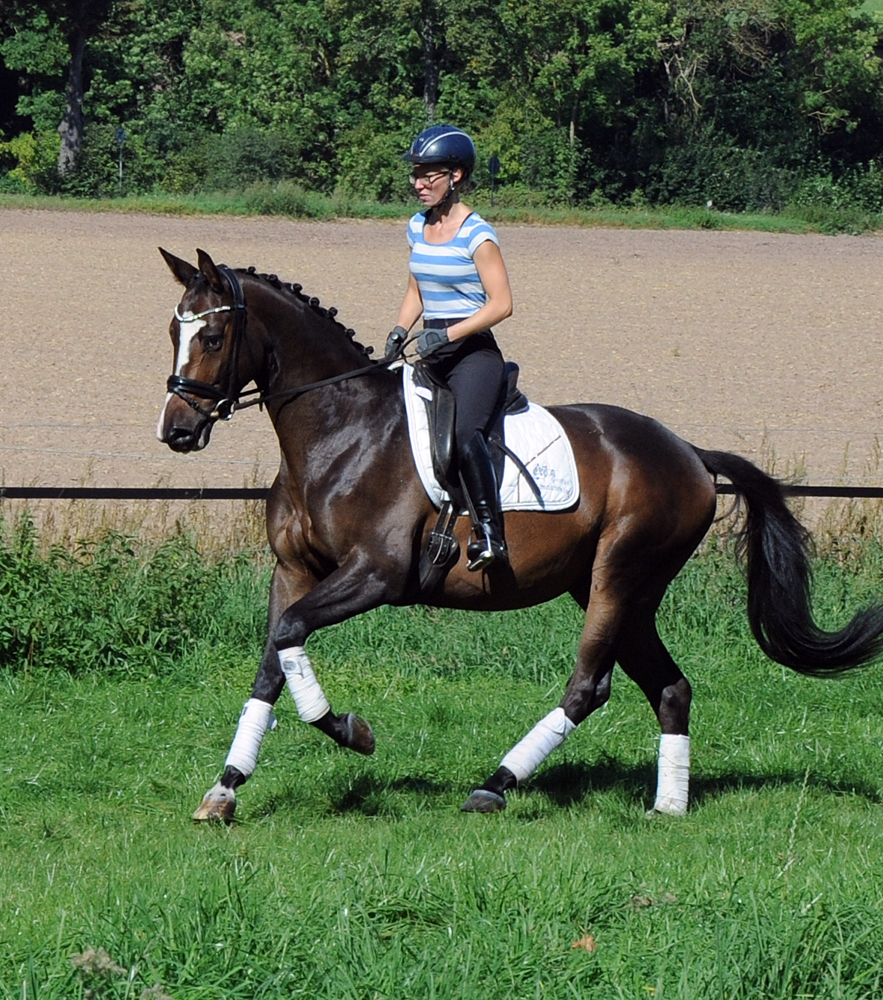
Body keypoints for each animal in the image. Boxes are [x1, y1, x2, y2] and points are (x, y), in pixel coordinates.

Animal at [155, 248, 883, 820]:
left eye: (212, 339)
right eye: (172, 331)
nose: (176, 431)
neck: (338, 430)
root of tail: (689, 453)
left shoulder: (373, 574)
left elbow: (289, 641)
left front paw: (353, 733)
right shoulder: (295, 572)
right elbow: (272, 662)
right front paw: (224, 791)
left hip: (619, 574)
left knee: (589, 685)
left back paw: (496, 786)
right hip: (621, 590)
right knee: (670, 687)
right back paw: (667, 806)